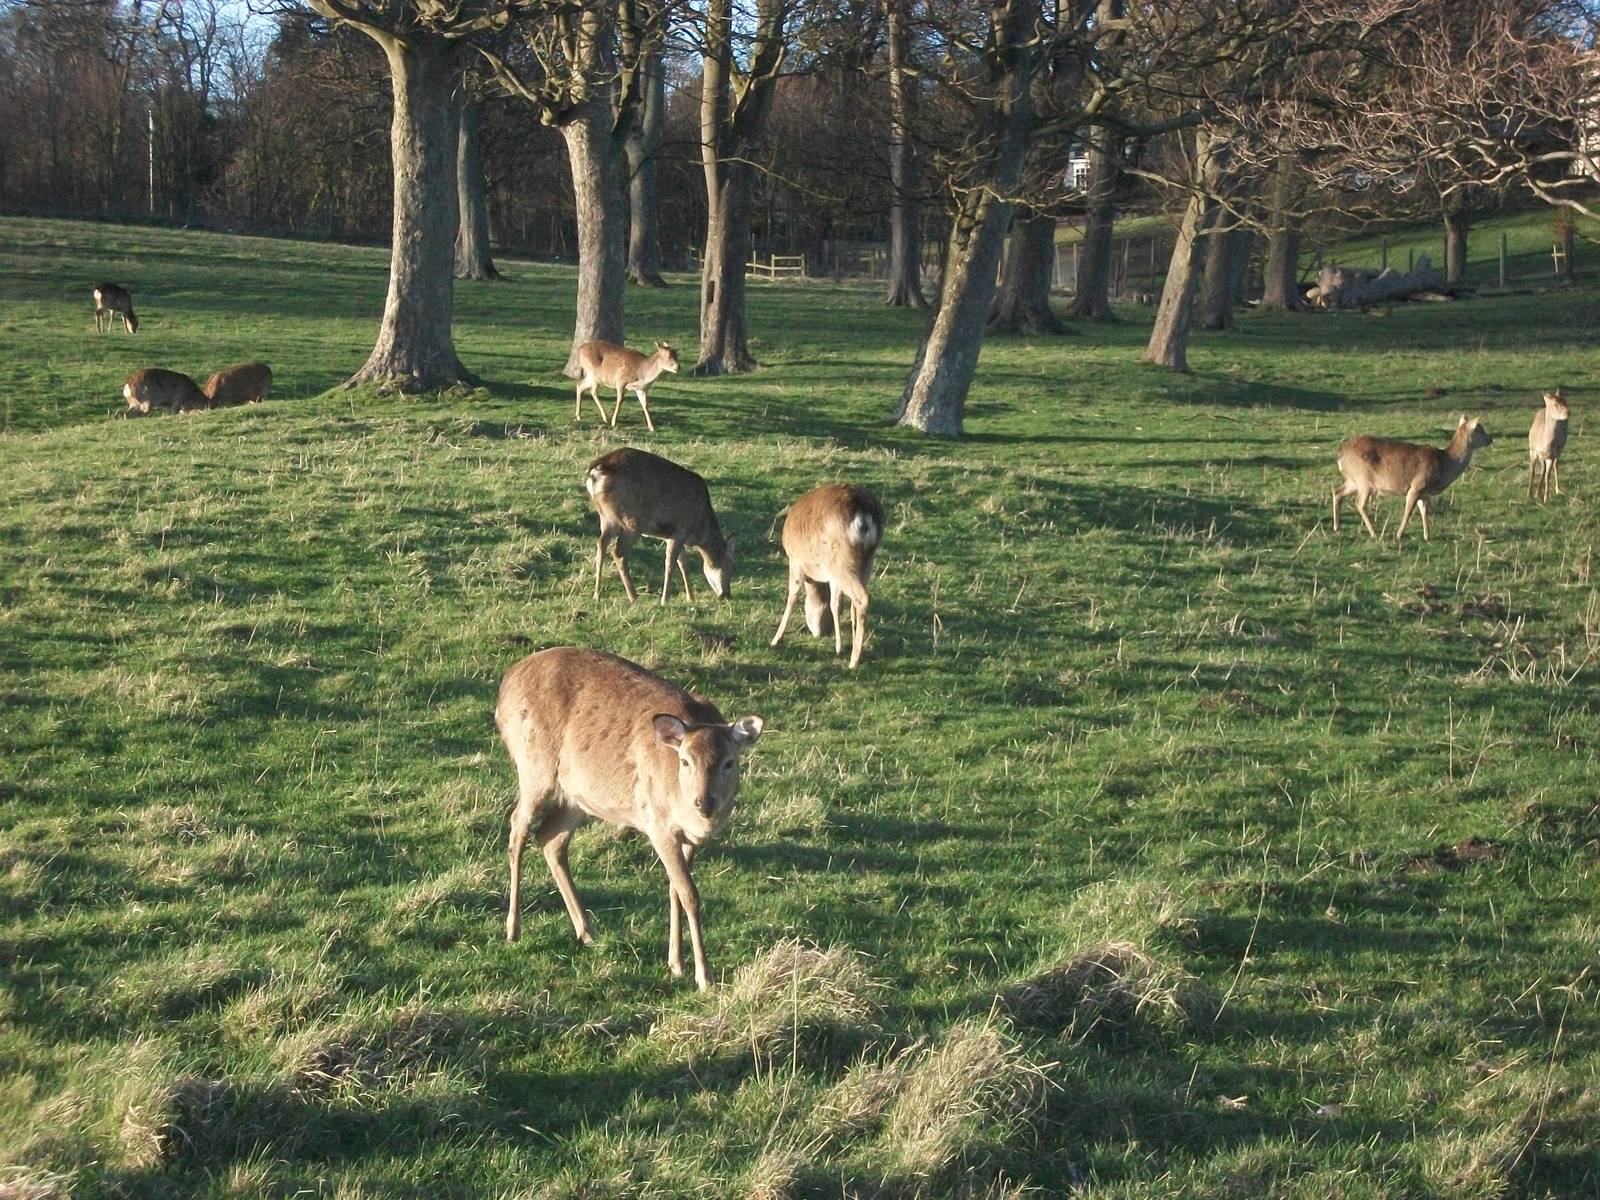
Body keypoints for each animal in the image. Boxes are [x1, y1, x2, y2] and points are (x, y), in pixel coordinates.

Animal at [496, 646, 763, 990]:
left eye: (729, 762)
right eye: (685, 761)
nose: (704, 802)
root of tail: (505, 687)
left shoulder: (687, 838)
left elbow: (674, 890)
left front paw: (676, 963)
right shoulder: (658, 824)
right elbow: (690, 894)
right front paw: (704, 976)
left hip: (576, 796)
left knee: (550, 838)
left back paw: (587, 931)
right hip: (534, 766)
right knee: (517, 827)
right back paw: (513, 928)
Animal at [585, 447, 736, 605]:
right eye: (730, 565)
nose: (726, 594)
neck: (699, 530)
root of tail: (597, 469)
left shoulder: (672, 535)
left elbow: (683, 563)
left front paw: (690, 597)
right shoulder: (680, 531)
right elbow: (670, 564)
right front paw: (665, 599)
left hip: (607, 517)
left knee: (601, 543)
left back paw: (597, 595)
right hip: (632, 522)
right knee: (618, 552)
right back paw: (634, 597)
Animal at [770, 483, 884, 669]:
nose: (822, 632)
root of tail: (863, 514)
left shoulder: (795, 560)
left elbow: (793, 596)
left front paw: (776, 640)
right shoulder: (832, 577)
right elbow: (836, 604)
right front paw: (840, 646)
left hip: (839, 561)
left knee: (862, 597)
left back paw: (854, 660)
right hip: (866, 561)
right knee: (855, 599)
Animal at [1331, 415, 1493, 544]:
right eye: (1479, 428)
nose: (1491, 439)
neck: (1445, 464)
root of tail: (1340, 453)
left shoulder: (1425, 493)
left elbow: (1424, 511)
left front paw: (1427, 536)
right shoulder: (1417, 486)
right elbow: (1408, 511)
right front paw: (1399, 535)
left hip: (1353, 481)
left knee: (1337, 492)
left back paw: (1337, 527)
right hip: (1364, 480)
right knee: (1359, 503)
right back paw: (1374, 533)